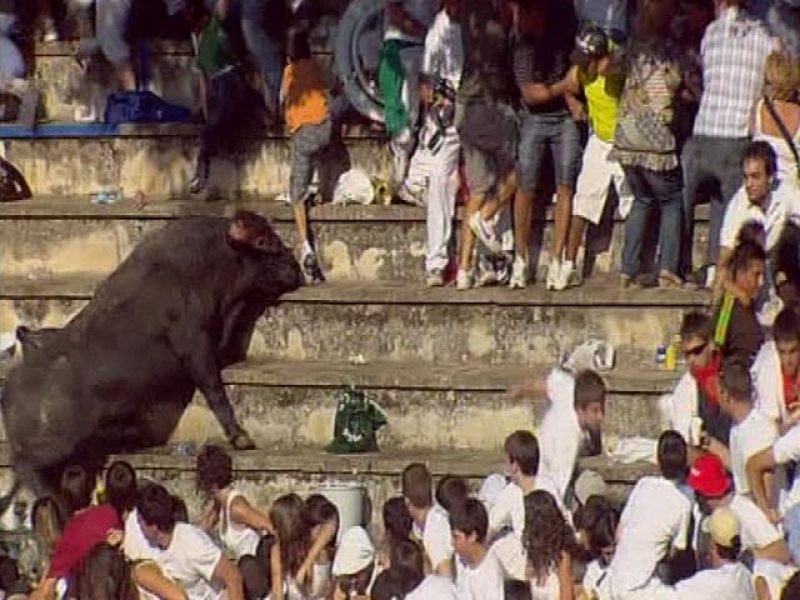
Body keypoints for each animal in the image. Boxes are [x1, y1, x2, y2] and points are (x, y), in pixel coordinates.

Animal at [1, 213, 302, 494]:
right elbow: (212, 386)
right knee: (25, 463)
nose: (295, 266)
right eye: (262, 241)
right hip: (59, 442)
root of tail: (12, 388)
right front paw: (244, 440)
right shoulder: (193, 341)